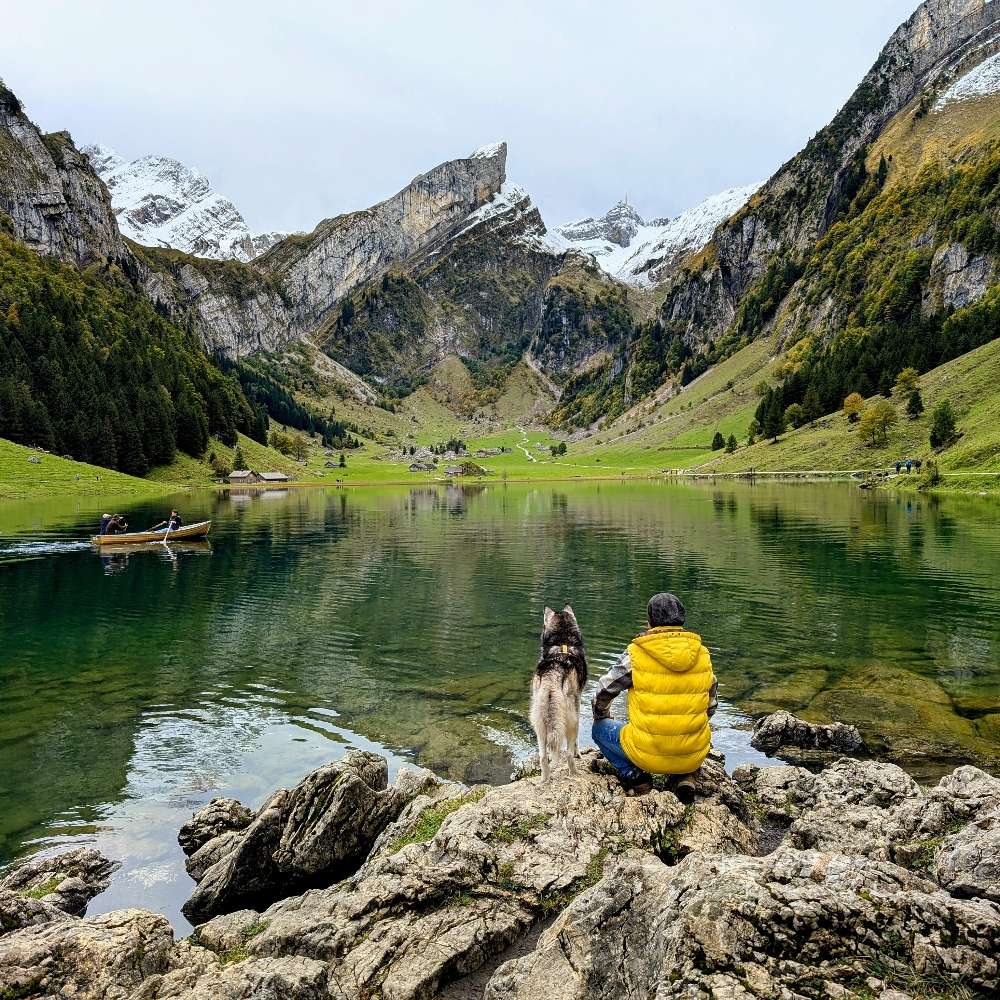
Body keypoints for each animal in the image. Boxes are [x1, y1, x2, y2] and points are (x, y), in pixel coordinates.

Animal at [532, 608, 584, 780]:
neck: (563, 643)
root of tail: (553, 674)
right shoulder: (578, 703)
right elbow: (575, 745)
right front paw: (579, 754)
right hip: (572, 721)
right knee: (567, 754)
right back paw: (575, 773)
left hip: (539, 725)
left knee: (543, 757)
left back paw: (544, 780)